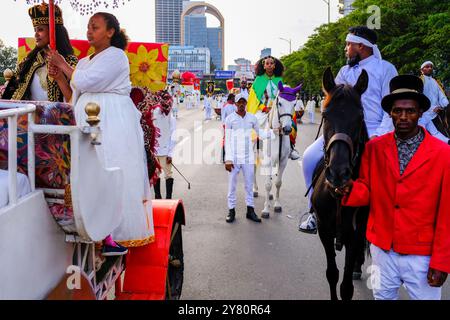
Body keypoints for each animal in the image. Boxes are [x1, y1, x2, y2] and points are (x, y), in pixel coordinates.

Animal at [255, 82, 304, 218]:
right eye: (280, 103)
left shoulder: (282, 161)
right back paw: (254, 189)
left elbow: (277, 182)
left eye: (294, 104)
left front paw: (277, 205)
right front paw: (266, 209)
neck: (278, 134)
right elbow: (267, 184)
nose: (287, 129)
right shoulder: (268, 160)